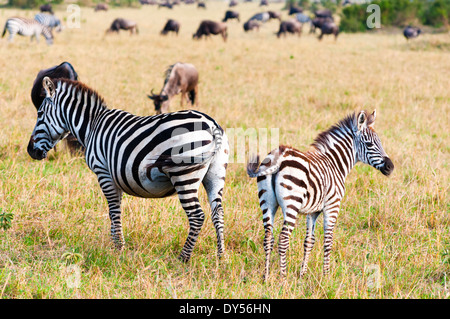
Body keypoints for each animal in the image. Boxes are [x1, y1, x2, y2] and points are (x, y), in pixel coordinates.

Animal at [27, 77, 229, 262]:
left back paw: (183, 258)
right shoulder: (114, 176)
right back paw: (221, 257)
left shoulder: (103, 172)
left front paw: (118, 248)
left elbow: (114, 210)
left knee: (197, 216)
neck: (92, 126)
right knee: (217, 213)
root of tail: (212, 126)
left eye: (40, 113)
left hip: (184, 176)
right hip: (215, 175)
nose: (31, 151)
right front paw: (115, 243)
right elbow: (114, 210)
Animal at [246, 110, 394, 280]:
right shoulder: (333, 206)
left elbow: (309, 241)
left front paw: (302, 274)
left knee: (268, 238)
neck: (335, 164)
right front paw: (327, 275)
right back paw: (283, 278)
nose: (390, 167)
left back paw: (266, 276)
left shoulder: (313, 211)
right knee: (283, 239)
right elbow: (328, 241)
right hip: (292, 203)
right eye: (370, 144)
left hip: (267, 202)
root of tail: (280, 155)